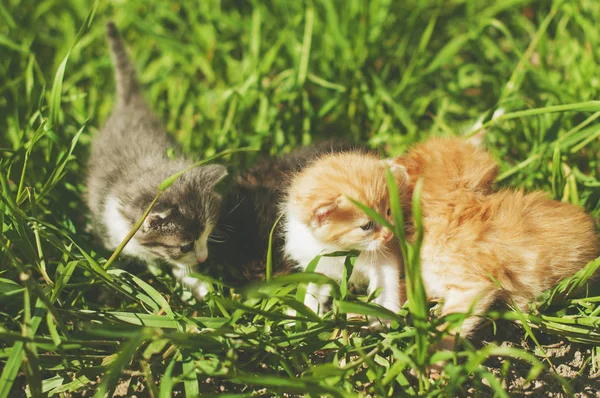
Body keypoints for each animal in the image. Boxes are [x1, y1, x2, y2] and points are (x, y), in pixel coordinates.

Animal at [282, 151, 412, 322]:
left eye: (389, 212)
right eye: (366, 226)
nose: (389, 234)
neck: (339, 250)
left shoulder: (384, 259)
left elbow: (386, 286)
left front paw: (385, 317)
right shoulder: (316, 262)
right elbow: (312, 289)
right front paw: (306, 312)